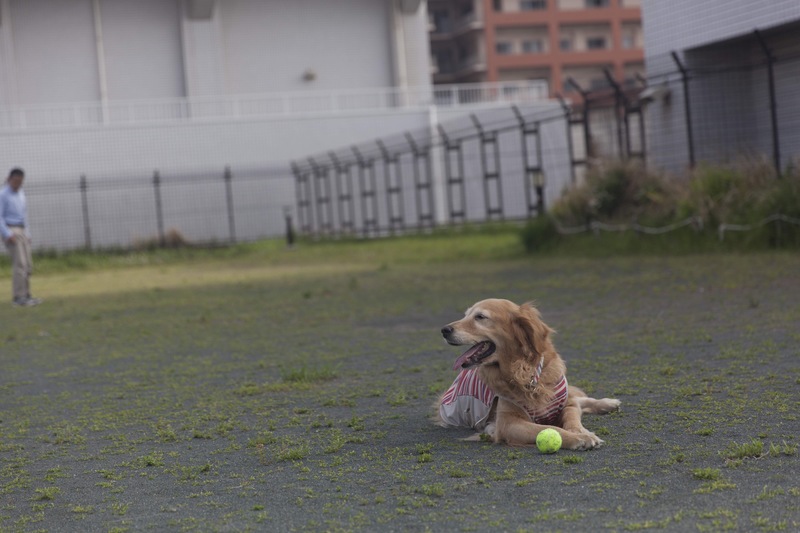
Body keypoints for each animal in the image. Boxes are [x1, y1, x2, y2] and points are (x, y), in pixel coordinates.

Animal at [438, 300, 620, 448]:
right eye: (466, 315)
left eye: (480, 317)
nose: (444, 330)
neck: (524, 372)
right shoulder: (508, 423)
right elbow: (550, 427)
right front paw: (579, 439)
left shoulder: (565, 403)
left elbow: (572, 419)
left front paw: (583, 433)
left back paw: (608, 403)